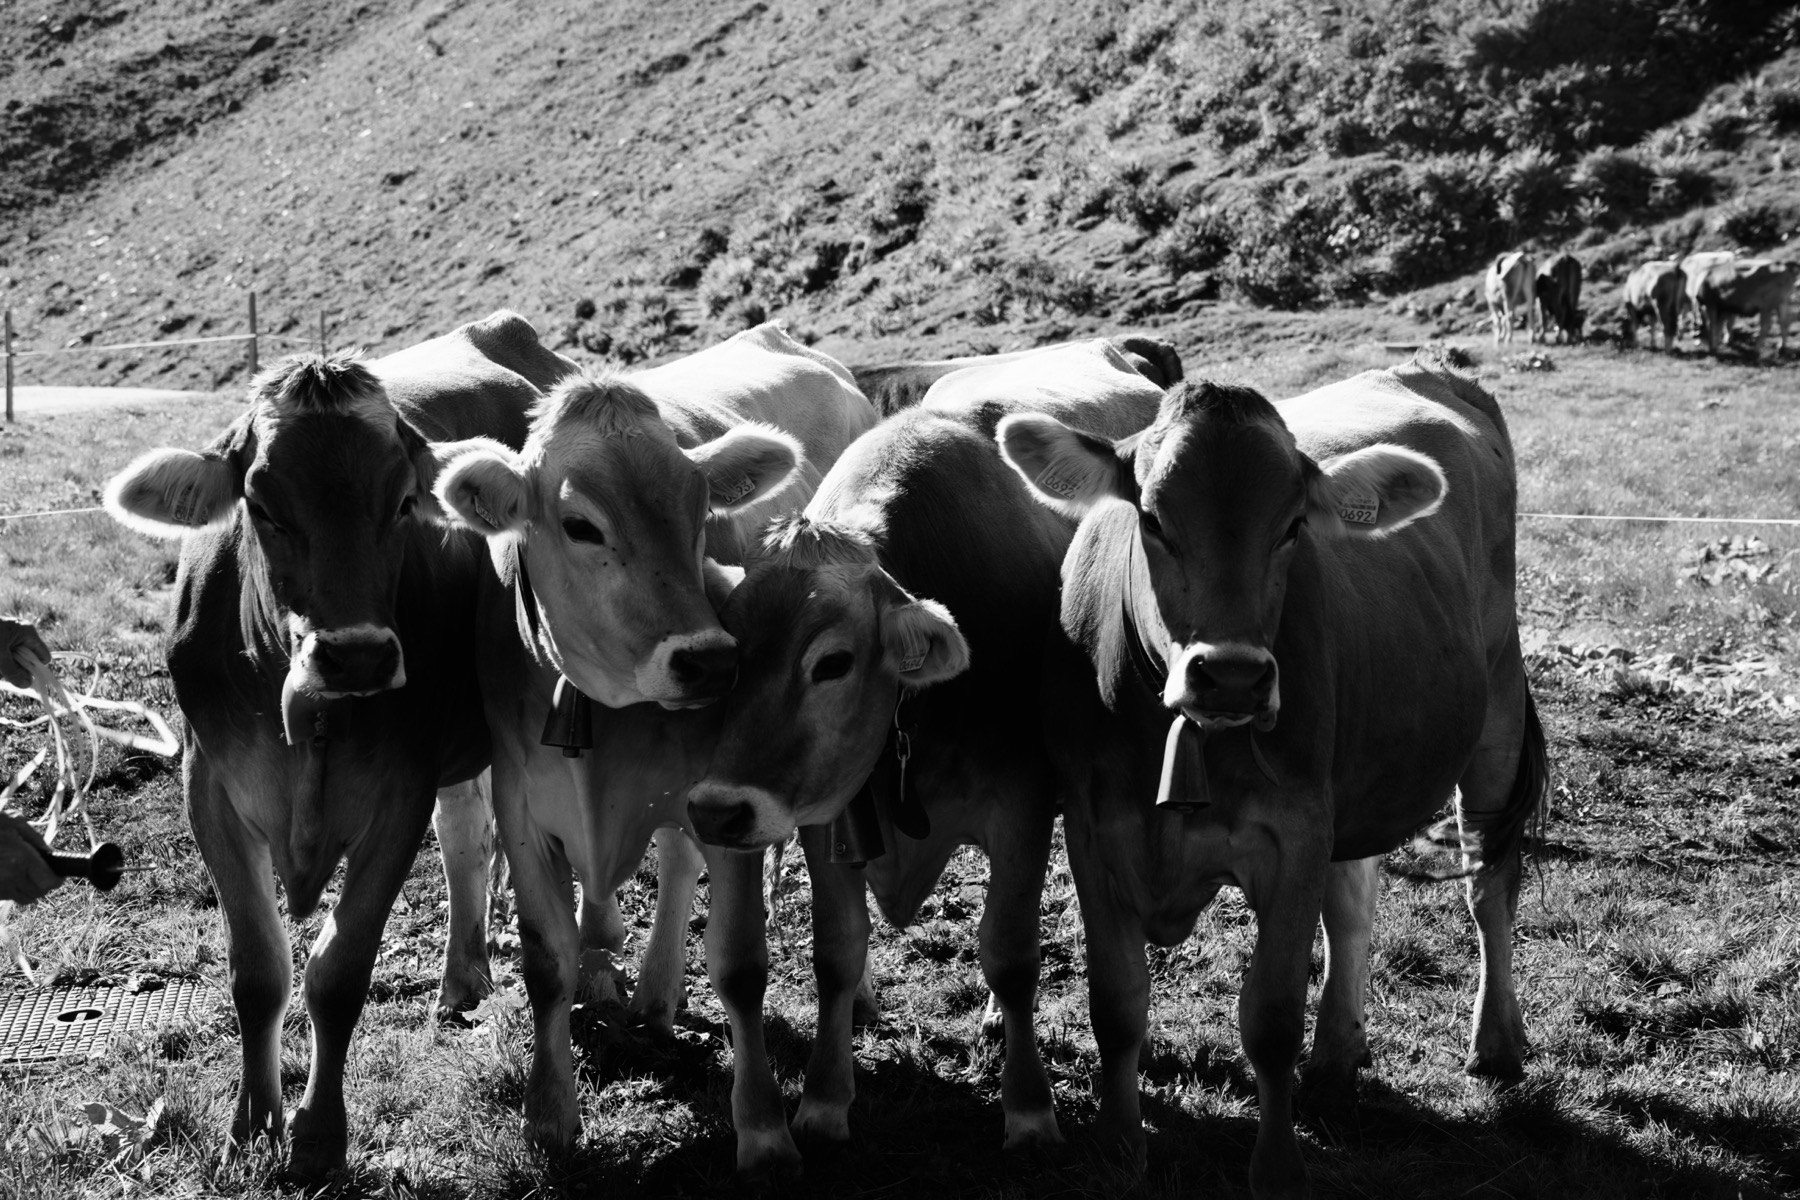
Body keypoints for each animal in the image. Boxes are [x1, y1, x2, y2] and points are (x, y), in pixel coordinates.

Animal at [100, 311, 575, 1178]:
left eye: (405, 500)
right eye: (261, 503)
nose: (355, 656)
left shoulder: (399, 789)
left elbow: (340, 972)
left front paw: (319, 1135)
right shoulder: (210, 789)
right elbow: (259, 972)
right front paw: (252, 1125)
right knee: (467, 835)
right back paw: (460, 979)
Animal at [432, 323, 878, 1175]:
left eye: (699, 508)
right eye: (582, 525)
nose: (709, 660)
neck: (597, 714)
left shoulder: (726, 796)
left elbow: (740, 965)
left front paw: (763, 1129)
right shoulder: (522, 806)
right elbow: (548, 962)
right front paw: (548, 1116)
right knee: (673, 862)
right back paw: (653, 994)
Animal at [683, 339, 1165, 1153]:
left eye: (833, 663)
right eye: (732, 654)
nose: (719, 812)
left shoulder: (1023, 806)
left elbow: (1010, 954)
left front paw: (1029, 1111)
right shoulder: (827, 814)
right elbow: (837, 954)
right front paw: (823, 1102)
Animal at [996, 355, 1548, 1199]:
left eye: (1291, 528)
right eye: (1152, 520)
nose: (1230, 675)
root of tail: (1431, 370)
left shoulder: (1293, 833)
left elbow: (1272, 1017)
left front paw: (1278, 1166)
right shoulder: (1093, 828)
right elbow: (1116, 1004)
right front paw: (1120, 1147)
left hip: (1497, 711)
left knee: (1489, 884)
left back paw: (1494, 1041)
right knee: (1354, 905)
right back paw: (1336, 1060)